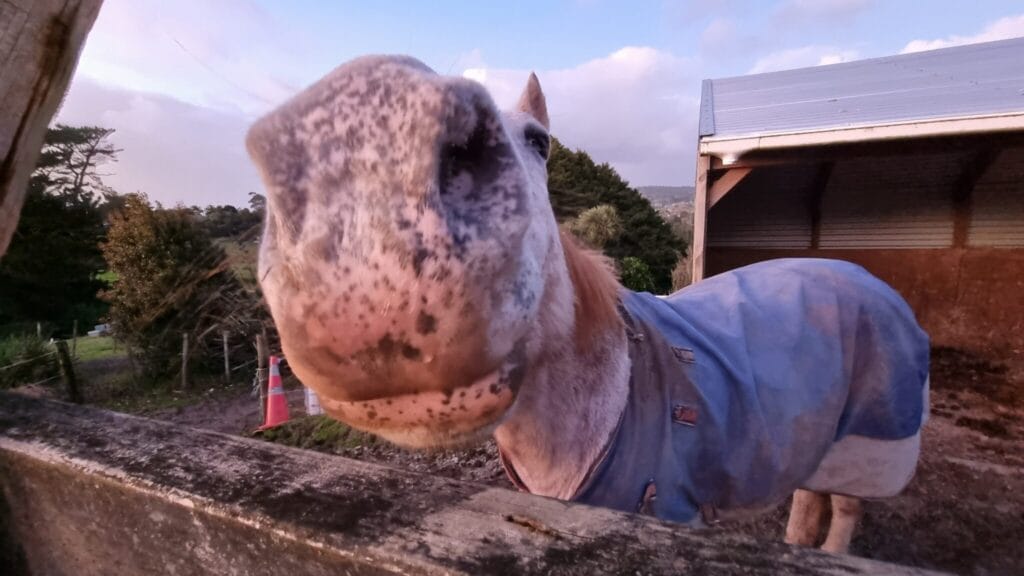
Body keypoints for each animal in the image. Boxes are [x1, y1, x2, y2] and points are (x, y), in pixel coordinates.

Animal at [246, 55, 930, 555]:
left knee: (843, 512)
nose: (368, 241)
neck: (609, 405)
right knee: (810, 500)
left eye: (540, 142)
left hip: (869, 444)